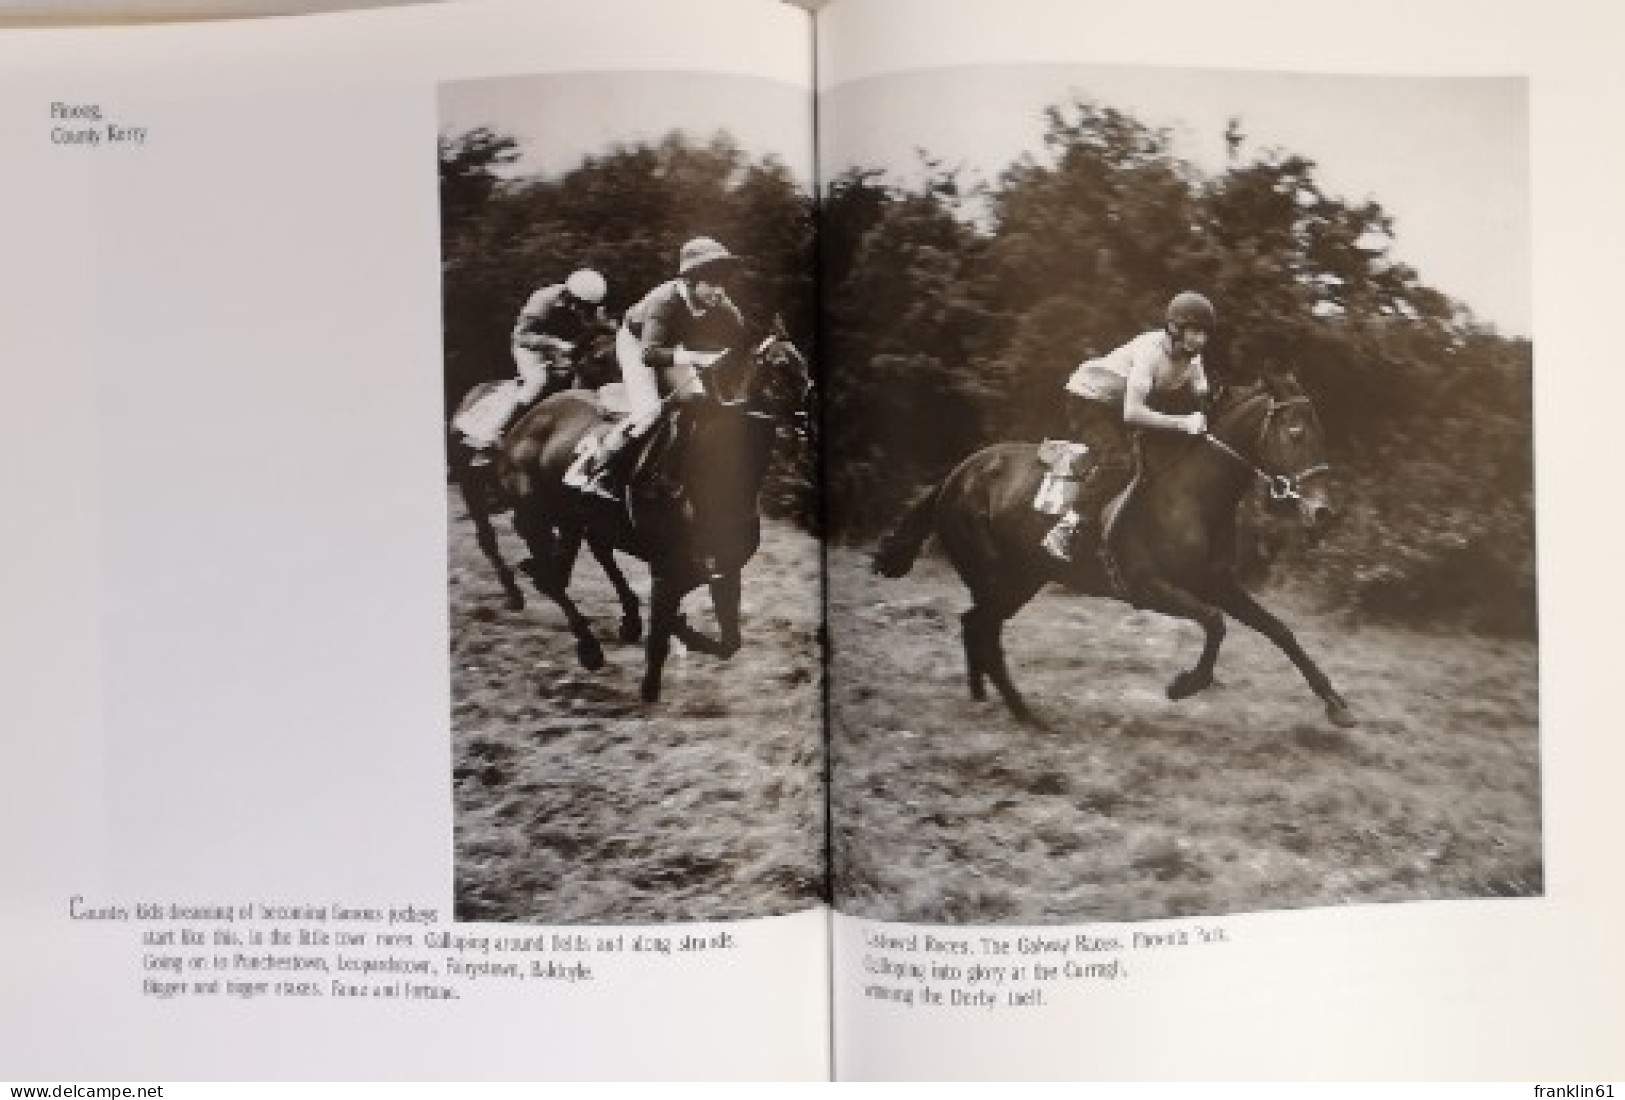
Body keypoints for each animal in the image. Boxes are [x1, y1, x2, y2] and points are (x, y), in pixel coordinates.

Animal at [474, 328, 809, 705]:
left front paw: (680, 627)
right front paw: (651, 683)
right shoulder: (666, 570)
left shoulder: (724, 568)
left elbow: (729, 643)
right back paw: (589, 646)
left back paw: (624, 618)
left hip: (578, 520)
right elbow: (662, 635)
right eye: (779, 365)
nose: (804, 421)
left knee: (572, 567)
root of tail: (521, 424)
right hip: (535, 517)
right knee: (553, 579)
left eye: (805, 365)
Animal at [871, 373, 1352, 724]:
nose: (1324, 512)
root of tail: (957, 474)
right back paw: (1025, 713)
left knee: (975, 626)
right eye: (1294, 432)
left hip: (1021, 578)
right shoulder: (1148, 588)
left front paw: (1335, 703)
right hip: (999, 577)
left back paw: (985, 700)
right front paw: (1184, 684)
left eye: (1321, 431)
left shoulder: (1216, 582)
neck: (1191, 494)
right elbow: (1214, 624)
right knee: (982, 629)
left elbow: (1279, 631)